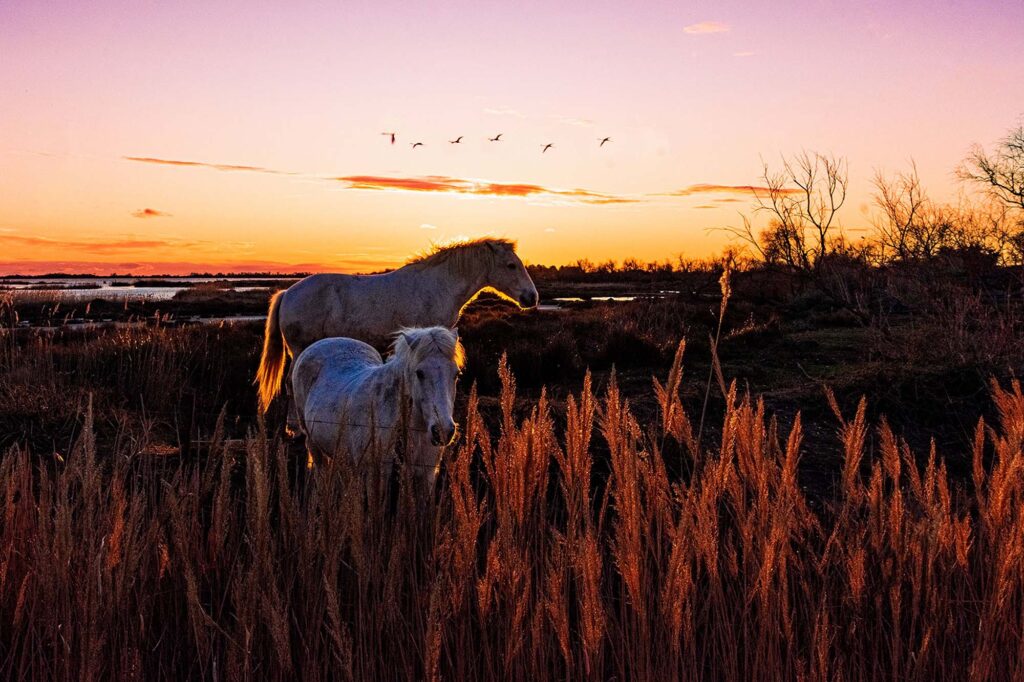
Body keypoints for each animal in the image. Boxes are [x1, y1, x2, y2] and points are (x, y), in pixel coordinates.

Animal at [256, 237, 537, 419]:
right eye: (511, 265)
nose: (531, 297)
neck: (438, 285)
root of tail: (287, 293)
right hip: (299, 349)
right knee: (290, 382)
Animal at [291, 326, 465, 488]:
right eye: (419, 373)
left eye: (456, 374)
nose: (443, 431)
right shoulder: (376, 475)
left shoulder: (426, 475)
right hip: (314, 445)